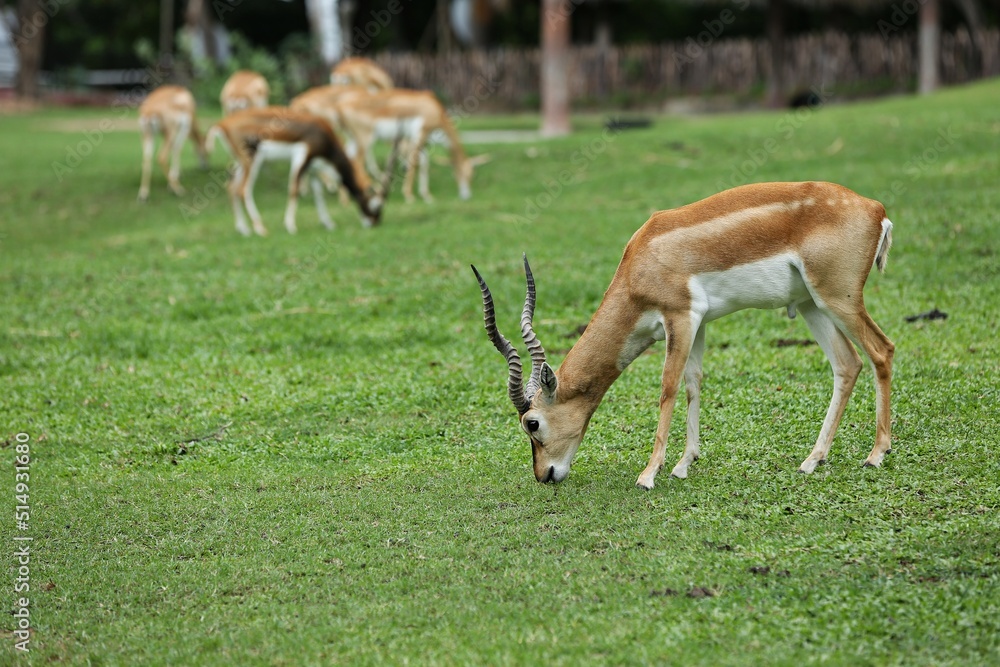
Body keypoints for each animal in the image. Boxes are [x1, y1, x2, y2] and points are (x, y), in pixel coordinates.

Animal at [206, 107, 398, 236]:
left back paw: (244, 229)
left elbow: (319, 194)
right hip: (252, 160)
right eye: (377, 205)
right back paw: (260, 228)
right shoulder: (301, 157)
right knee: (242, 189)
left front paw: (328, 223)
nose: (373, 223)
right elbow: (294, 190)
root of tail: (222, 124)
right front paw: (291, 226)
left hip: (240, 163)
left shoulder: (313, 167)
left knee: (231, 187)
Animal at [336, 89, 487, 202]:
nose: (466, 196)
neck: (433, 108)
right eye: (469, 174)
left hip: (353, 140)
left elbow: (425, 163)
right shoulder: (419, 135)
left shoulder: (422, 142)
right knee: (357, 163)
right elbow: (413, 163)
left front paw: (426, 196)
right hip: (365, 140)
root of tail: (340, 107)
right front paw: (409, 196)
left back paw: (345, 200)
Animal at [473, 182, 895, 490]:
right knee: (847, 364)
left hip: (838, 298)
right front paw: (683, 464)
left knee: (881, 350)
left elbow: (668, 387)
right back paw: (812, 460)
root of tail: (877, 209)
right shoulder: (700, 322)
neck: (641, 261)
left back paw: (876, 454)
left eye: (532, 423)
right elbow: (694, 382)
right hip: (811, 304)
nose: (544, 476)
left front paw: (648, 475)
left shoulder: (680, 316)